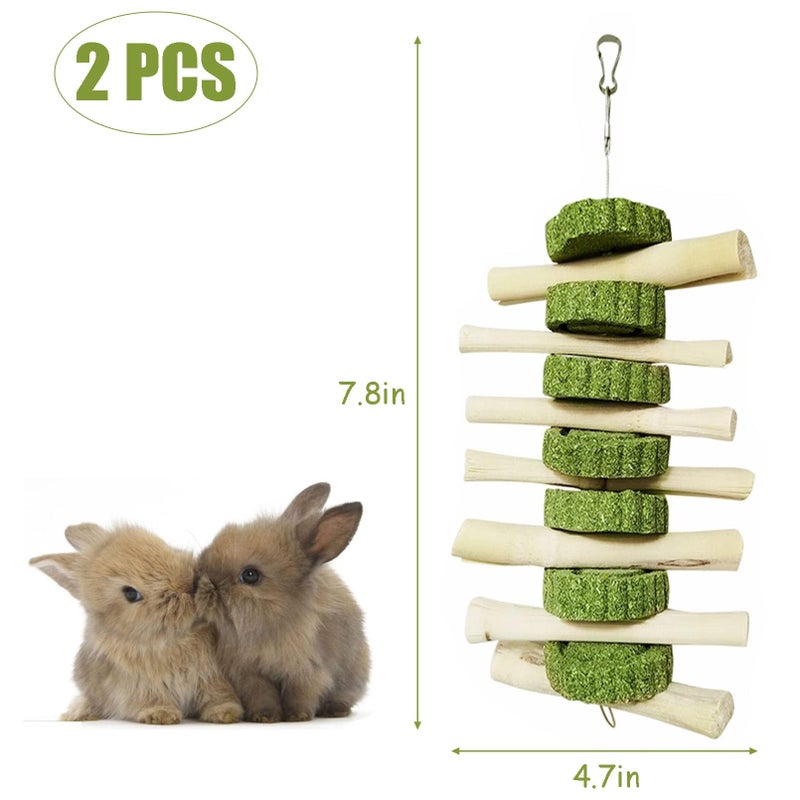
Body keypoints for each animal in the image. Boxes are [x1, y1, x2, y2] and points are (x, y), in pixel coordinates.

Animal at [30, 522, 244, 724]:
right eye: (131, 594)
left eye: (165, 545)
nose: (189, 586)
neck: (174, 639)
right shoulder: (141, 686)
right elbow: (152, 699)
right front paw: (160, 715)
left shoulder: (212, 677)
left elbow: (216, 695)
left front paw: (225, 713)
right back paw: (78, 714)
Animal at [196, 482, 370, 722]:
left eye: (250, 575)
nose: (200, 581)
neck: (270, 624)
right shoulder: (249, 674)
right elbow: (262, 696)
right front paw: (264, 717)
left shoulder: (306, 672)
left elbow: (300, 695)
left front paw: (297, 716)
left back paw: (335, 711)